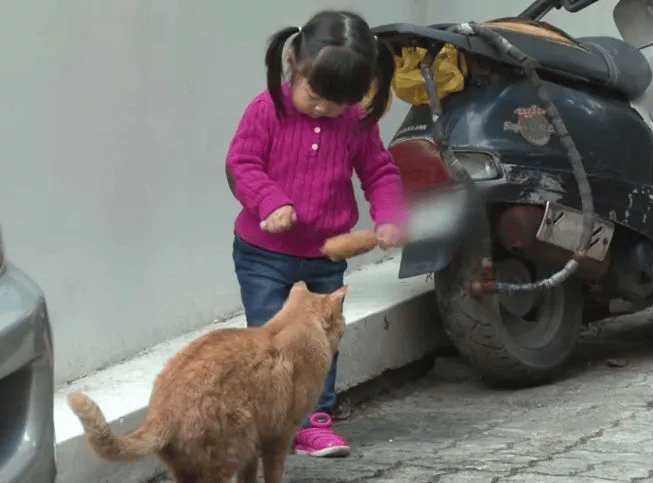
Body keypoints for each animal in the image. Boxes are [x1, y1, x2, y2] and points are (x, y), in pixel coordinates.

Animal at [67, 282, 346, 483]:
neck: (288, 326)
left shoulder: (254, 448)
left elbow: (248, 478)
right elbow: (272, 476)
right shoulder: (277, 437)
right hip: (228, 454)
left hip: (201, 464)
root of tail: (160, 413)